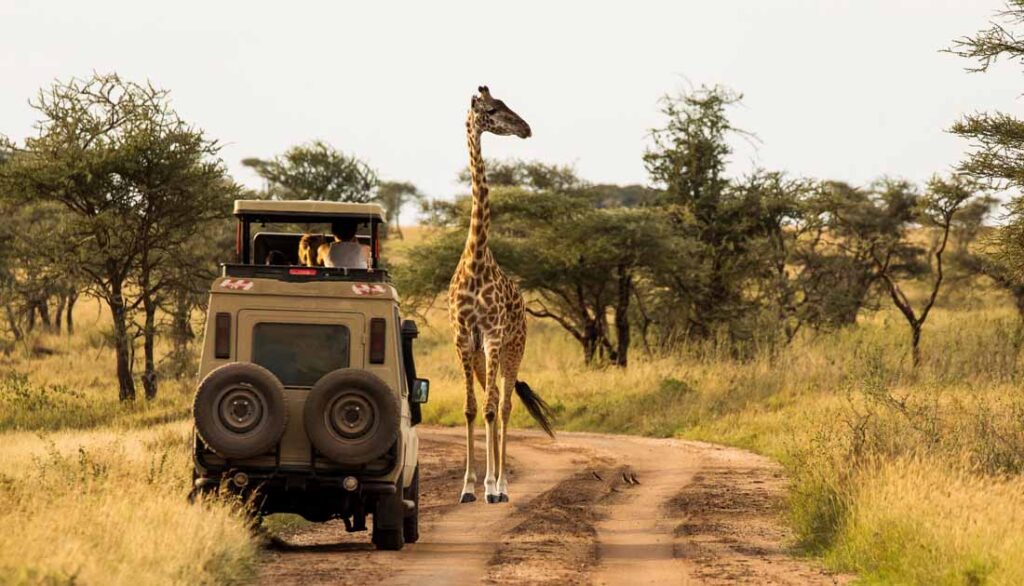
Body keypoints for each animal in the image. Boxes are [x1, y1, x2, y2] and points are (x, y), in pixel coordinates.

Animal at [448, 86, 557, 504]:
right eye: (493, 110)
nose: (526, 128)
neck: (477, 259)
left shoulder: (494, 337)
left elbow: (494, 408)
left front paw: (492, 486)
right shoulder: (464, 338)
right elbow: (471, 408)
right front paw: (467, 487)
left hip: (514, 349)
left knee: (506, 405)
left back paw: (503, 485)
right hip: (483, 356)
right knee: (492, 400)